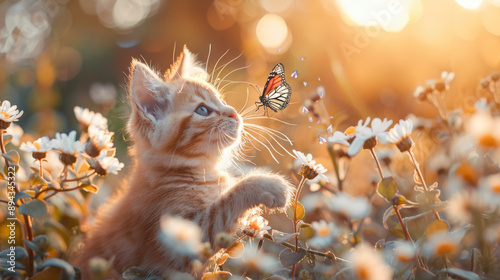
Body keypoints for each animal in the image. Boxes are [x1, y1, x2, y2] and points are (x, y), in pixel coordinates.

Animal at [73, 46, 292, 278]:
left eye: (221, 100)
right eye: (203, 110)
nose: (234, 112)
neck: (195, 171)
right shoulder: (175, 243)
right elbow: (226, 204)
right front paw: (267, 185)